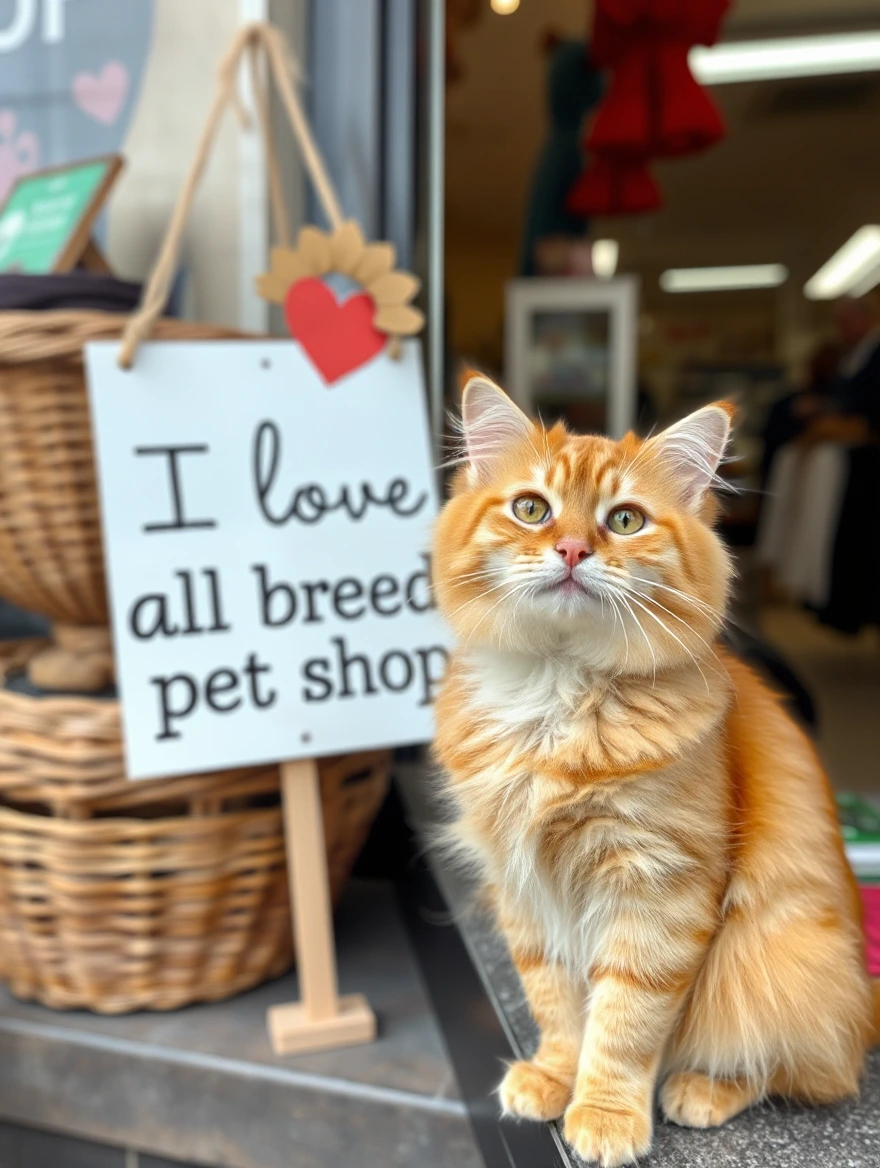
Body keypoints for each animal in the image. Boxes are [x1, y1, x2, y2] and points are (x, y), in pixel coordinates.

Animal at [430, 376, 874, 1168]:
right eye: (532, 509)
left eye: (625, 520)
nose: (573, 548)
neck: (557, 698)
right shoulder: (522, 886)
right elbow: (555, 1003)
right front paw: (554, 1077)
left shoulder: (657, 888)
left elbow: (624, 1022)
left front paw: (605, 1114)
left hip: (777, 956)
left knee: (809, 1071)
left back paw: (701, 1089)